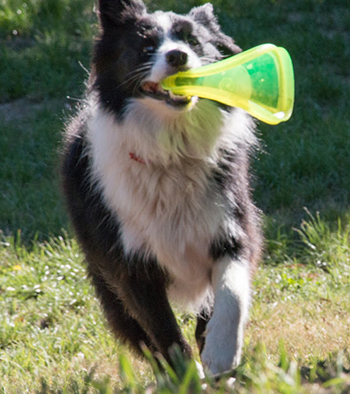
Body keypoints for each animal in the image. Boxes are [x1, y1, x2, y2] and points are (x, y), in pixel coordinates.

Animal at [60, 0, 262, 378]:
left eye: (193, 41)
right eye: (147, 45)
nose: (178, 56)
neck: (170, 150)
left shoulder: (232, 226)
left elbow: (231, 293)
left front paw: (221, 352)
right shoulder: (129, 265)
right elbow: (165, 334)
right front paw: (188, 377)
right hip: (103, 279)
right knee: (139, 334)